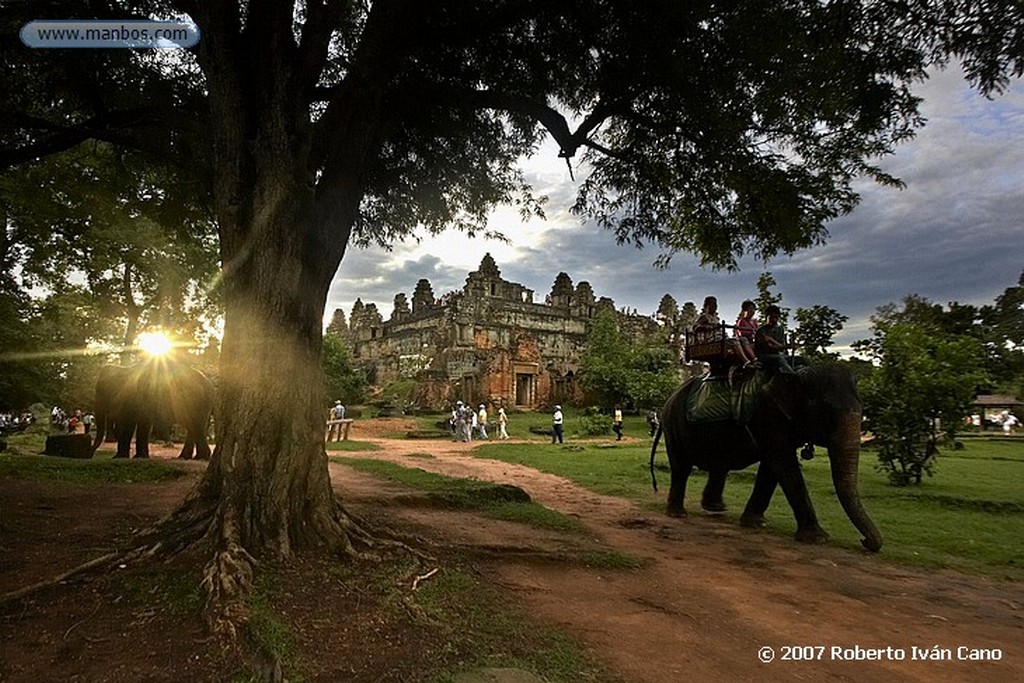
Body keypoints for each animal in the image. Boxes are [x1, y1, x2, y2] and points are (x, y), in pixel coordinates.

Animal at [651, 366, 884, 552]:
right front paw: (818, 539)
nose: (864, 542)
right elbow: (782, 462)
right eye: (826, 413)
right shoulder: (769, 418)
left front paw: (755, 523)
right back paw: (678, 514)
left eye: (863, 410)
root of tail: (668, 400)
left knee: (719, 465)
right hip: (674, 425)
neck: (798, 372)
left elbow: (772, 467)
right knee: (682, 468)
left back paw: (715, 508)